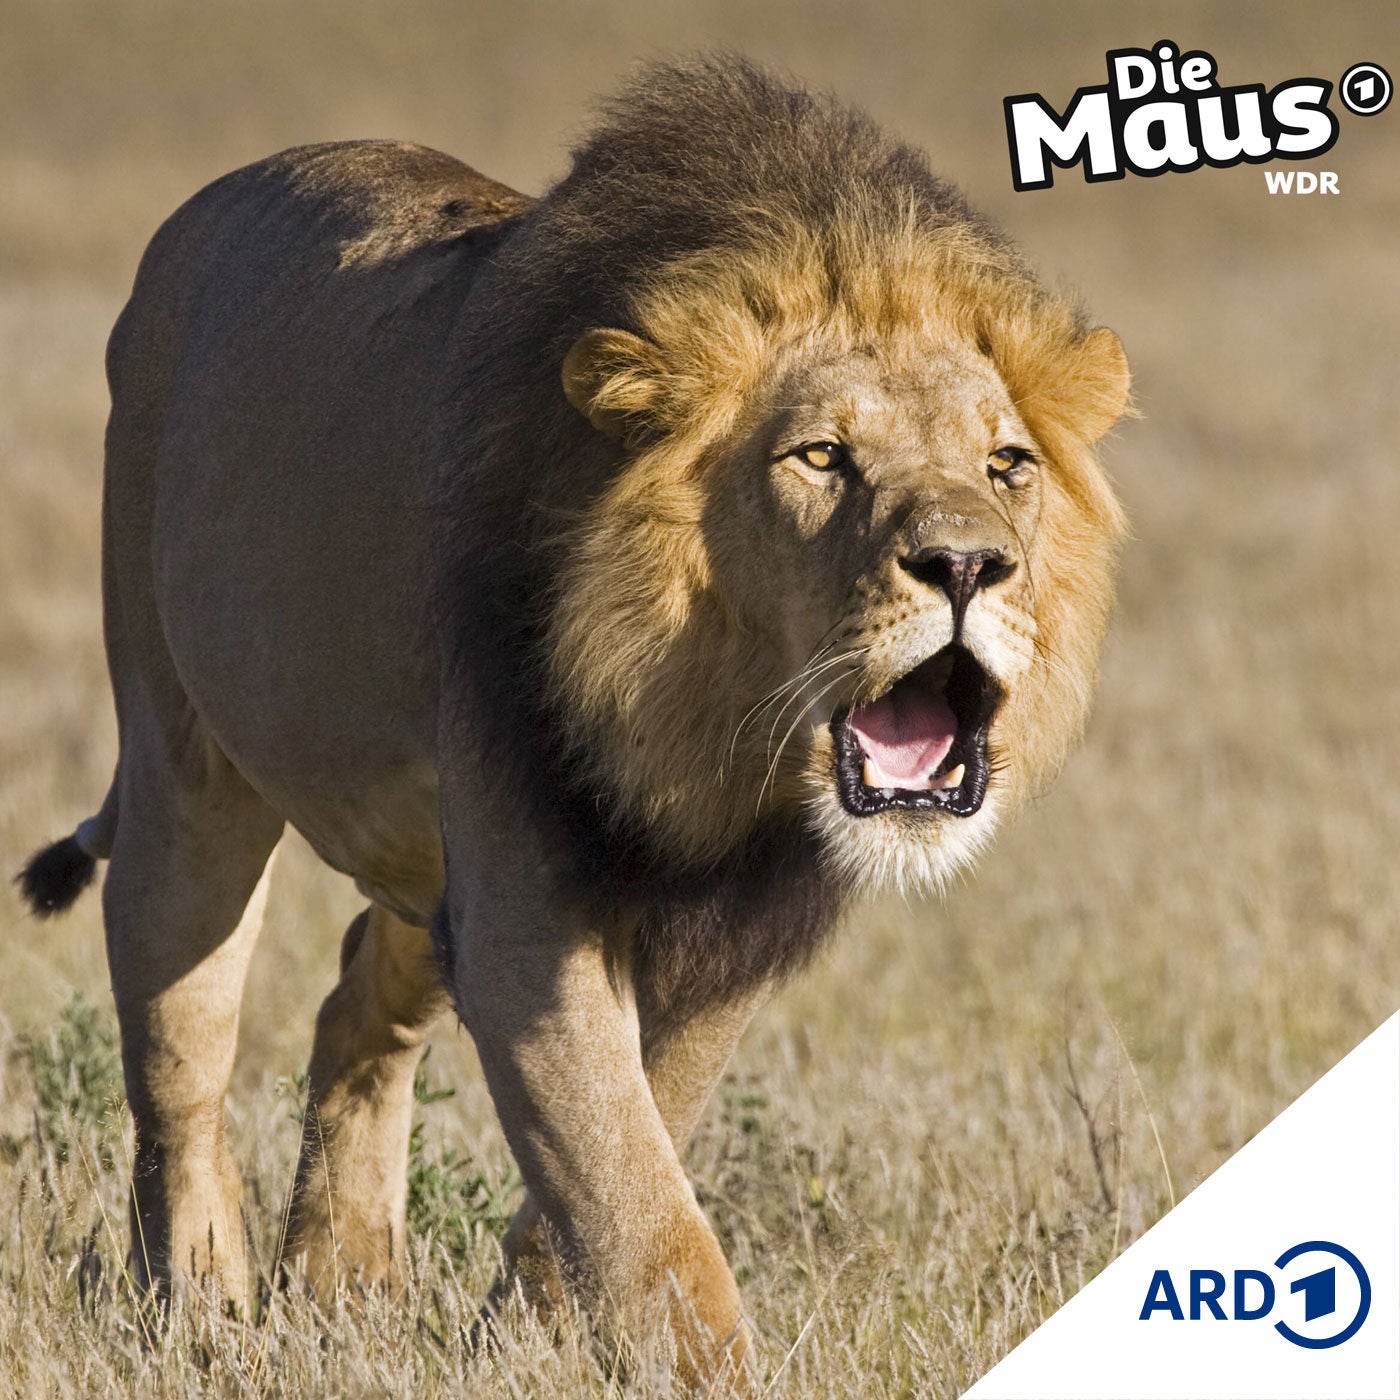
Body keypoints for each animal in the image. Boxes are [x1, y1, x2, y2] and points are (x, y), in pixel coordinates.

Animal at [17, 55, 1129, 1387]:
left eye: (1007, 463)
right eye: (820, 457)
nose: (967, 562)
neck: (708, 739)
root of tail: (202, 213)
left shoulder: (726, 929)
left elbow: (624, 1157)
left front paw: (522, 1342)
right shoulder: (526, 909)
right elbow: (631, 1187)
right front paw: (694, 1369)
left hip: (421, 855)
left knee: (356, 997)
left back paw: (341, 1280)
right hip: (186, 771)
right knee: (178, 1058)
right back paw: (198, 1305)